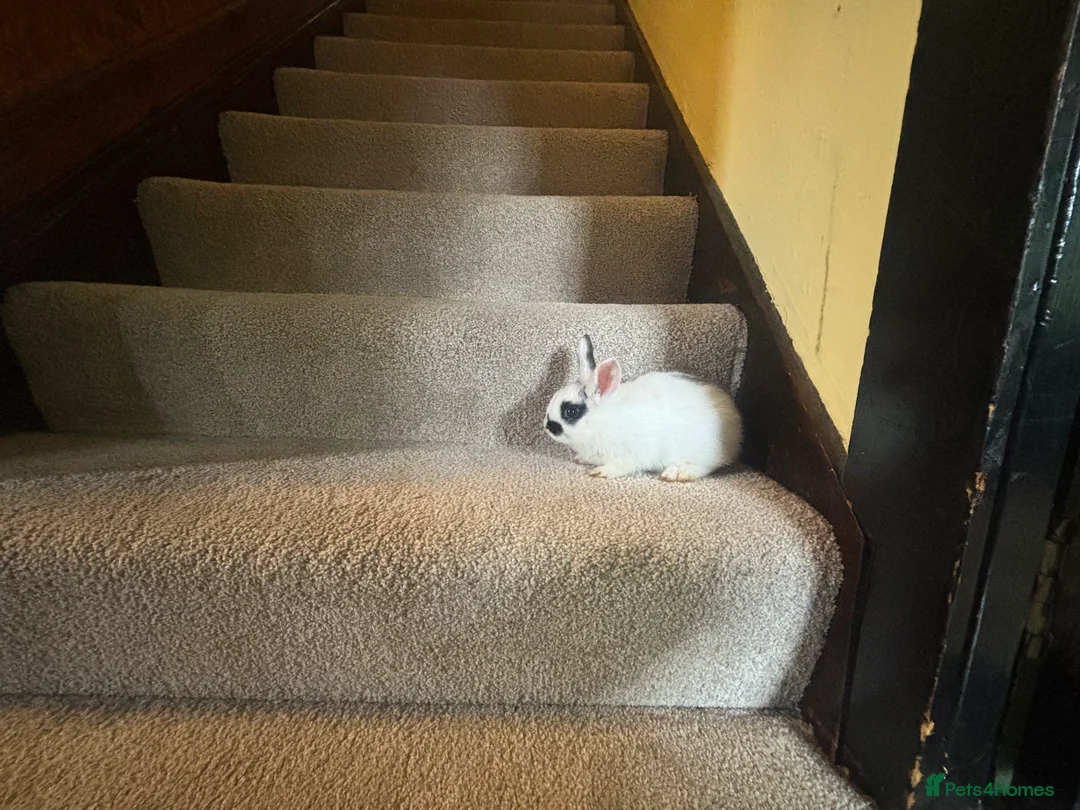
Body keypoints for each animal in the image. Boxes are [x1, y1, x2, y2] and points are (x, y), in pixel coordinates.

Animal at [542, 334, 742, 482]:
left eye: (571, 411)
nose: (547, 426)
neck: (602, 422)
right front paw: (580, 459)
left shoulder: (634, 453)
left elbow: (623, 465)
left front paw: (601, 471)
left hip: (700, 451)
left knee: (706, 467)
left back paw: (676, 473)